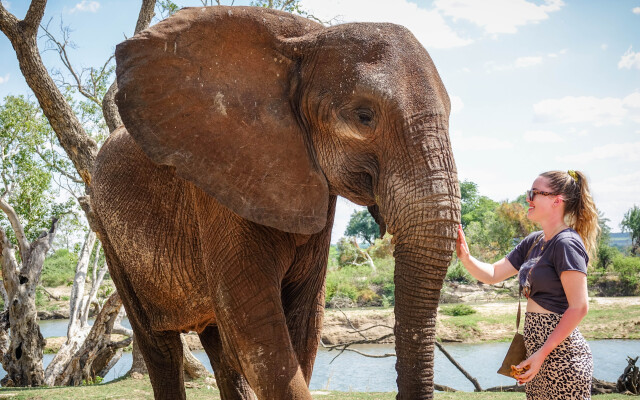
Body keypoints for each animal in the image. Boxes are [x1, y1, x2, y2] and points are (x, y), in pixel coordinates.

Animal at [90, 5, 460, 400]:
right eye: (363, 117)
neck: (303, 43)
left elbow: (303, 323)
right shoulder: (221, 177)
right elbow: (256, 326)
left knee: (218, 344)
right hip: (108, 236)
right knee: (161, 347)